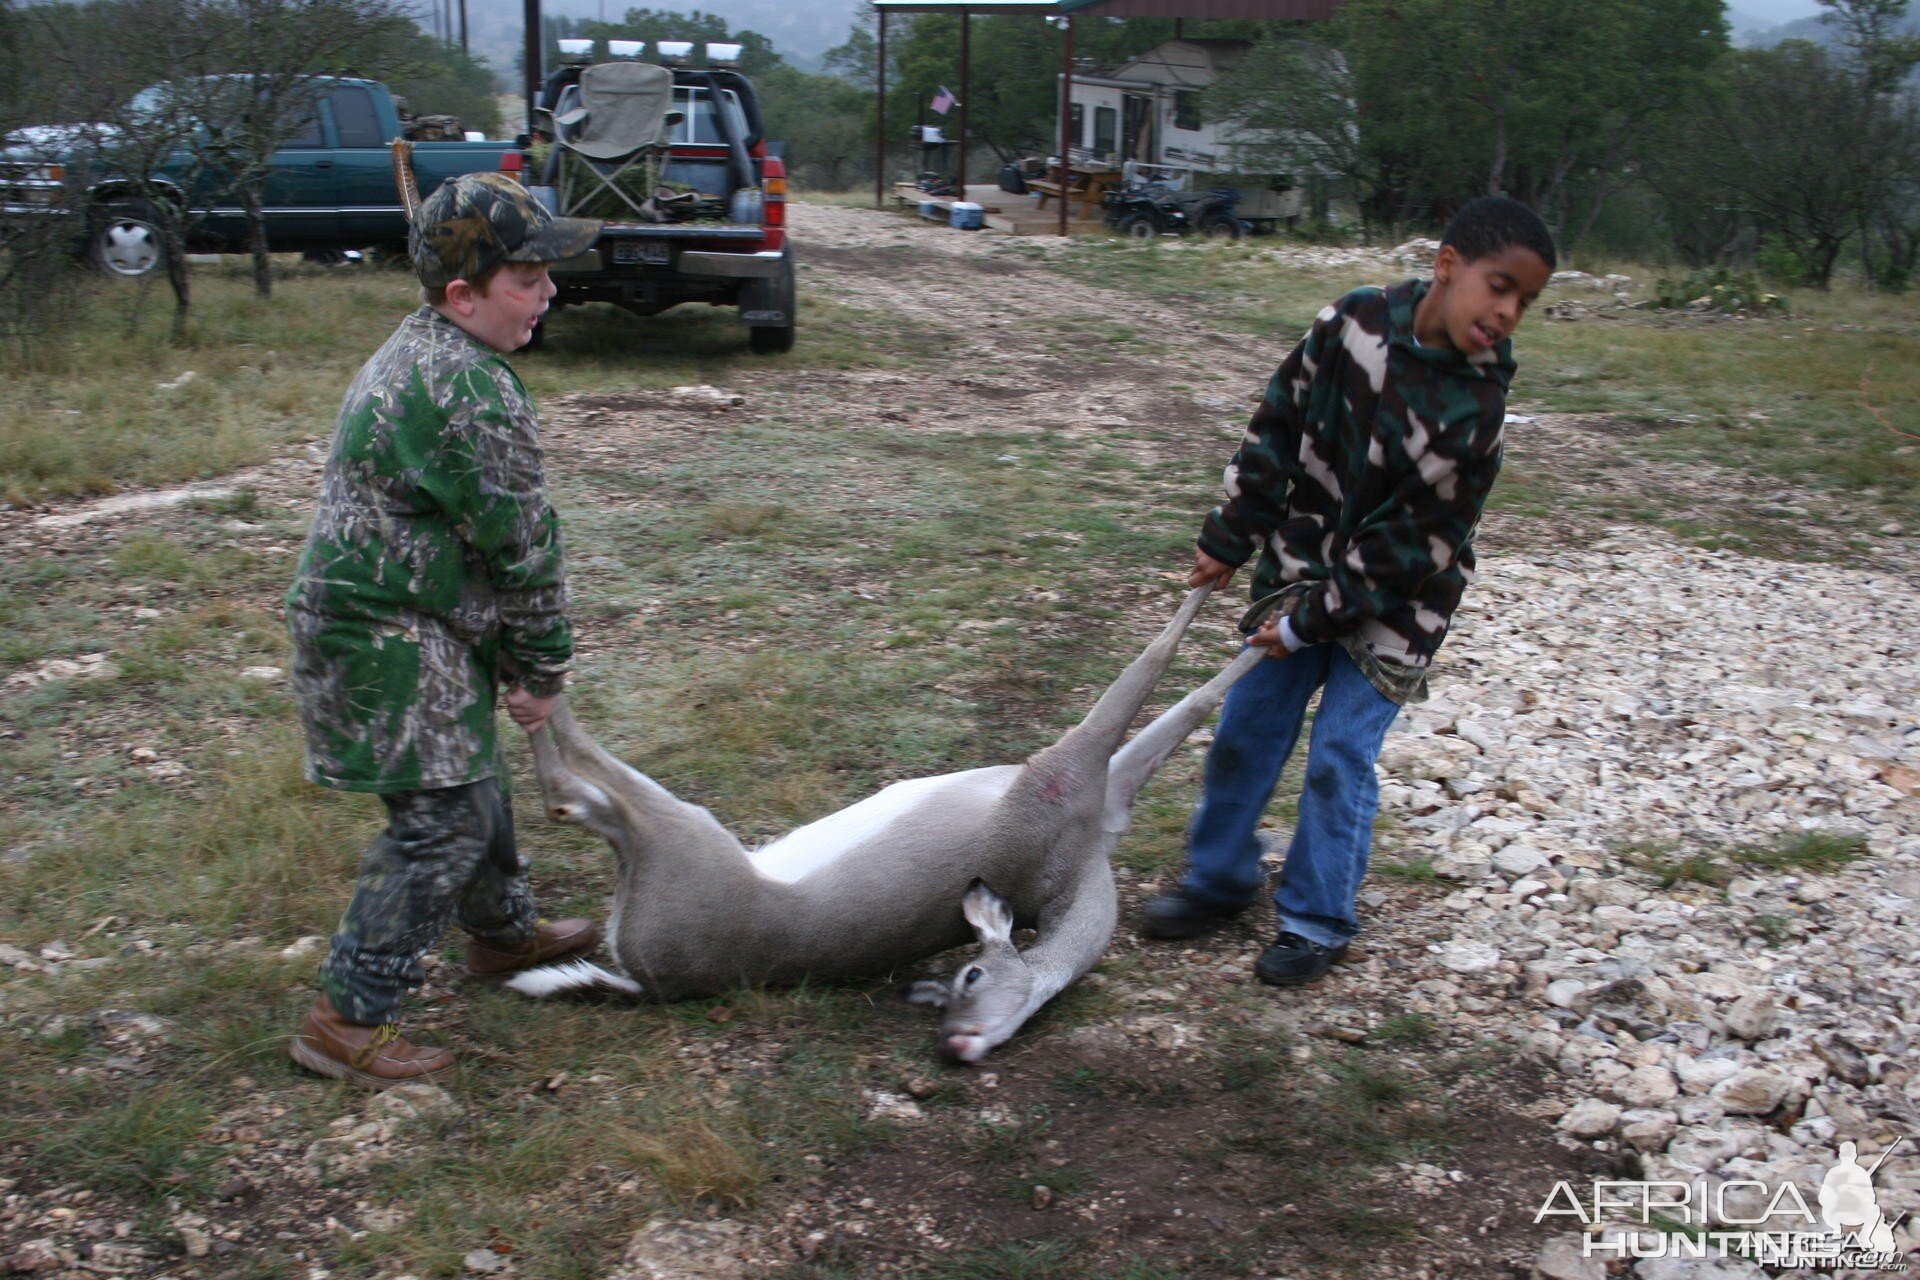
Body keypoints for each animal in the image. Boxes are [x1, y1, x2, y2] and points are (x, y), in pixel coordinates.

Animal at [514, 583, 1259, 1059]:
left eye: (966, 980)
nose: (956, 1043)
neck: (1075, 872)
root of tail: (649, 982)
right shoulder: (1079, 785)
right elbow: (1171, 692)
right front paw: (1261, 604)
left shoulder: (1070, 784)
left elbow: (1170, 684)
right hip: (676, 841)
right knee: (575, 787)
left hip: (682, 839)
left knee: (567, 791)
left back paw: (529, 681)